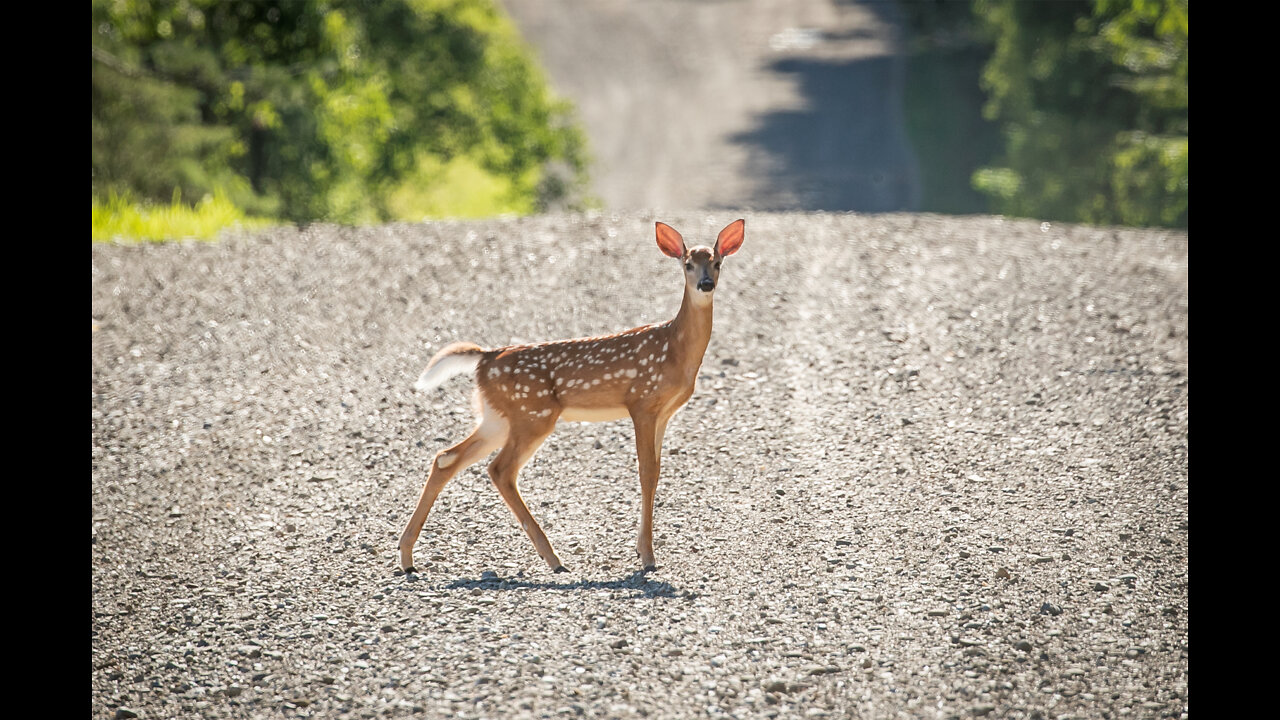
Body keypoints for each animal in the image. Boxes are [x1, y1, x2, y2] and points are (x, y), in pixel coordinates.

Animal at [394, 219, 747, 571]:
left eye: (717, 262)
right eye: (687, 264)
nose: (705, 284)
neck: (674, 349)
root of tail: (485, 357)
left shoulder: (664, 412)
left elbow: (657, 471)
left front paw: (641, 549)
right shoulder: (642, 402)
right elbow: (646, 472)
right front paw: (647, 557)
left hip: (497, 417)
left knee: (446, 458)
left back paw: (407, 557)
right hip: (532, 415)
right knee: (500, 469)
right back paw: (553, 558)